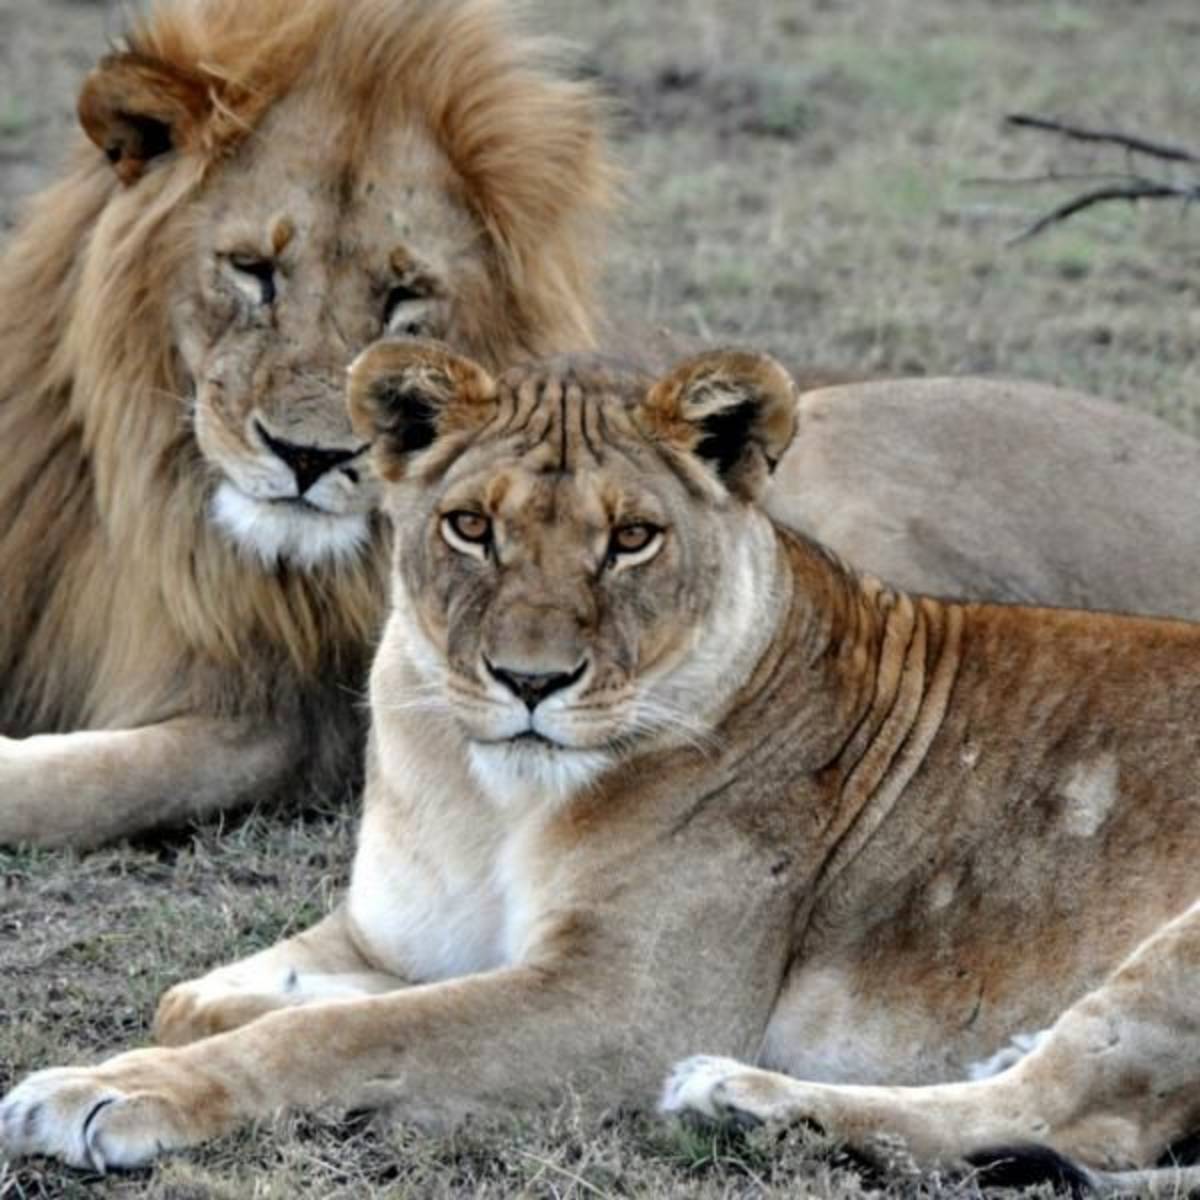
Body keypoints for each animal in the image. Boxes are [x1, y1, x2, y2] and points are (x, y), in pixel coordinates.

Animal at [4, 342, 1199, 1194]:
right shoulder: (389, 934)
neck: (485, 795)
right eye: (470, 527)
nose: (531, 681)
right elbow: (201, 998)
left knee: (1076, 1119)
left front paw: (101, 1093)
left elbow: (335, 1034)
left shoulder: (623, 1006)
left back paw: (739, 1099)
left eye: (632, 539)